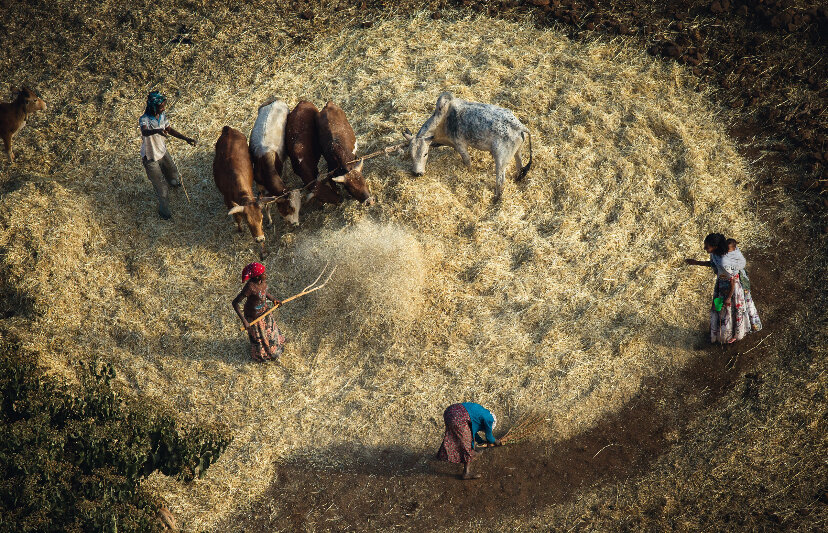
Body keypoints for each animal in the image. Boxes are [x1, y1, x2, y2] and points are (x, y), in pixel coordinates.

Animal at [213, 125, 268, 256]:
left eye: (261, 218)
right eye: (248, 222)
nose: (260, 239)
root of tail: (228, 130)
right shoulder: (228, 202)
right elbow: (237, 218)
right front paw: (240, 229)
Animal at [252, 96, 304, 225]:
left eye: (299, 207)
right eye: (290, 208)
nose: (296, 223)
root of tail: (276, 100)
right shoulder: (259, 185)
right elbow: (266, 205)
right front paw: (270, 222)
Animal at [404, 91, 532, 200]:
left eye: (425, 154)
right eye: (410, 154)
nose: (417, 173)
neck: (443, 119)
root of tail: (519, 126)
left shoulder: (460, 145)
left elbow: (468, 162)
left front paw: (470, 173)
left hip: (501, 160)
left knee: (500, 181)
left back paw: (496, 198)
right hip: (517, 152)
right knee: (520, 166)